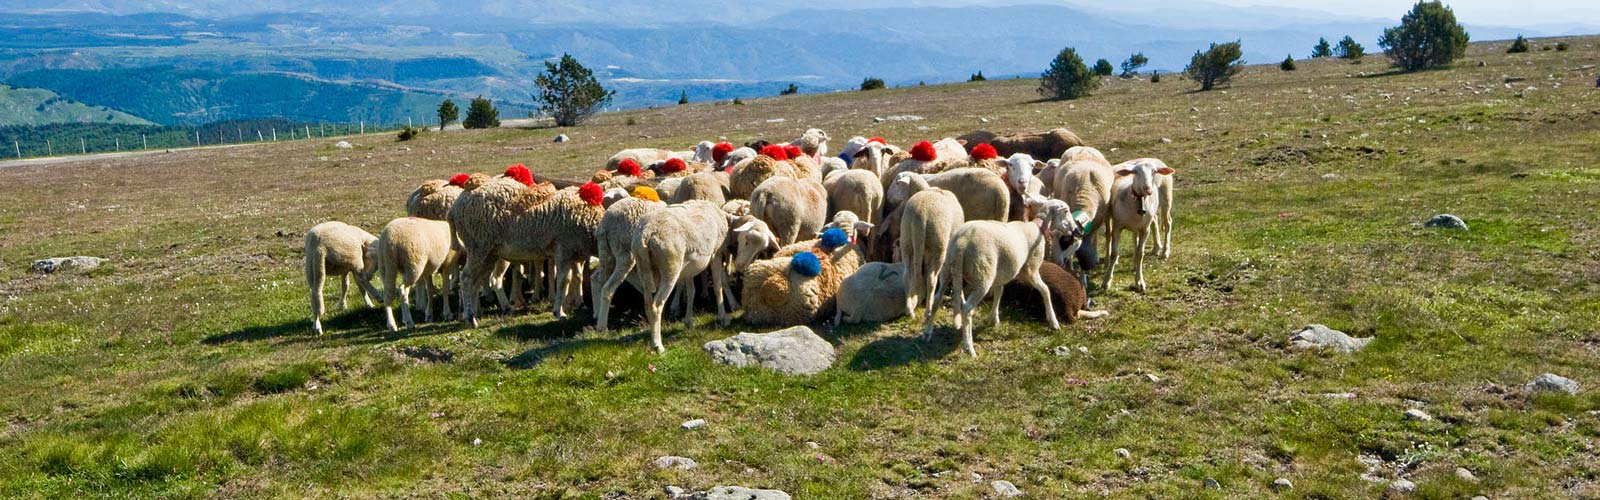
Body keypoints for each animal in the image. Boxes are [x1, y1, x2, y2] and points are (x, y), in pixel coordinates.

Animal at [633, 197, 739, 350]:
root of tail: (646, 234)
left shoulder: (689, 268)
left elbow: (691, 291)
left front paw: (689, 321)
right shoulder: (716, 254)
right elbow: (718, 286)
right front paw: (723, 318)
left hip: (643, 267)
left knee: (647, 303)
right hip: (670, 265)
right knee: (657, 305)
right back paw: (657, 345)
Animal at [921, 201, 1056, 357]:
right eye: (1066, 210)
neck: (1036, 227)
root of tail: (962, 243)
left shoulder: (1000, 275)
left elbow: (999, 292)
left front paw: (994, 319)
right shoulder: (1031, 269)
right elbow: (1045, 290)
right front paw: (1053, 321)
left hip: (948, 269)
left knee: (937, 300)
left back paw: (928, 332)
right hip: (983, 276)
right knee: (967, 309)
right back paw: (969, 347)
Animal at [1100, 159, 1177, 293]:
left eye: (1154, 171)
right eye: (1135, 172)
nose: (1148, 189)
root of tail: (1156, 159)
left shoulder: (1144, 230)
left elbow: (1141, 254)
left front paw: (1139, 282)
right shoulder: (1118, 226)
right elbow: (1115, 253)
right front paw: (1106, 282)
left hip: (1166, 199)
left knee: (1168, 223)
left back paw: (1165, 251)